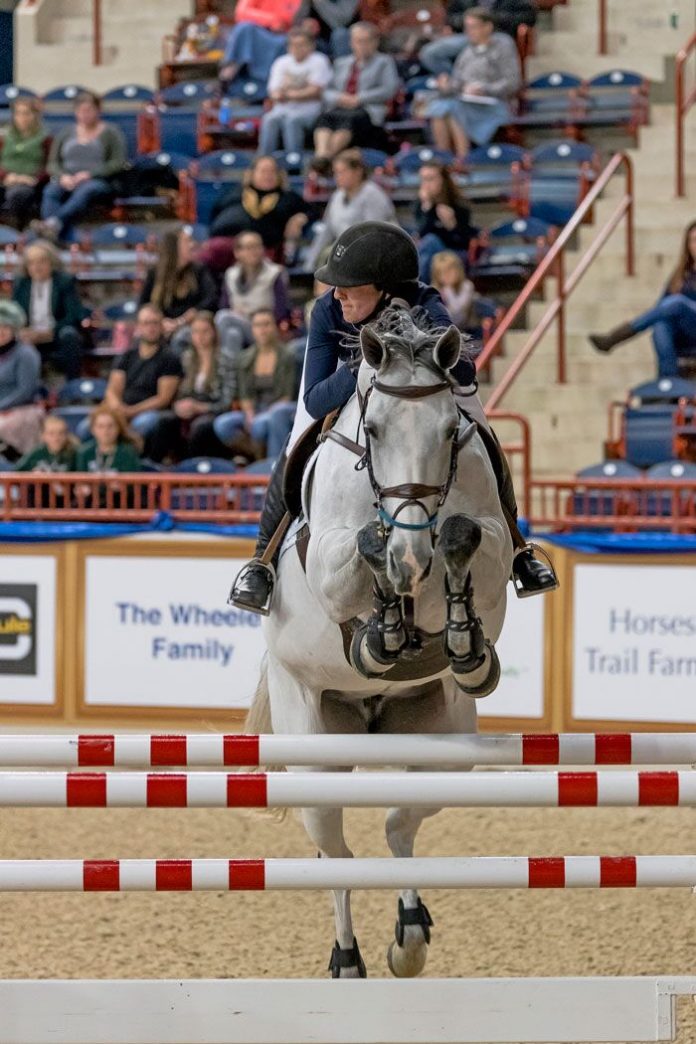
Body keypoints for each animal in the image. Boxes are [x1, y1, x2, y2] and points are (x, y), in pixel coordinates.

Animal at [247, 305, 513, 979]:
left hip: (443, 745)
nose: (411, 549)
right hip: (312, 747)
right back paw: (347, 957)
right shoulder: (330, 561)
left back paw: (409, 934)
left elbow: (466, 537)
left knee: (398, 822)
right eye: (373, 428)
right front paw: (385, 620)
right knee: (335, 855)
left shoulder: (492, 544)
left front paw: (465, 644)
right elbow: (365, 552)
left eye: (447, 431)